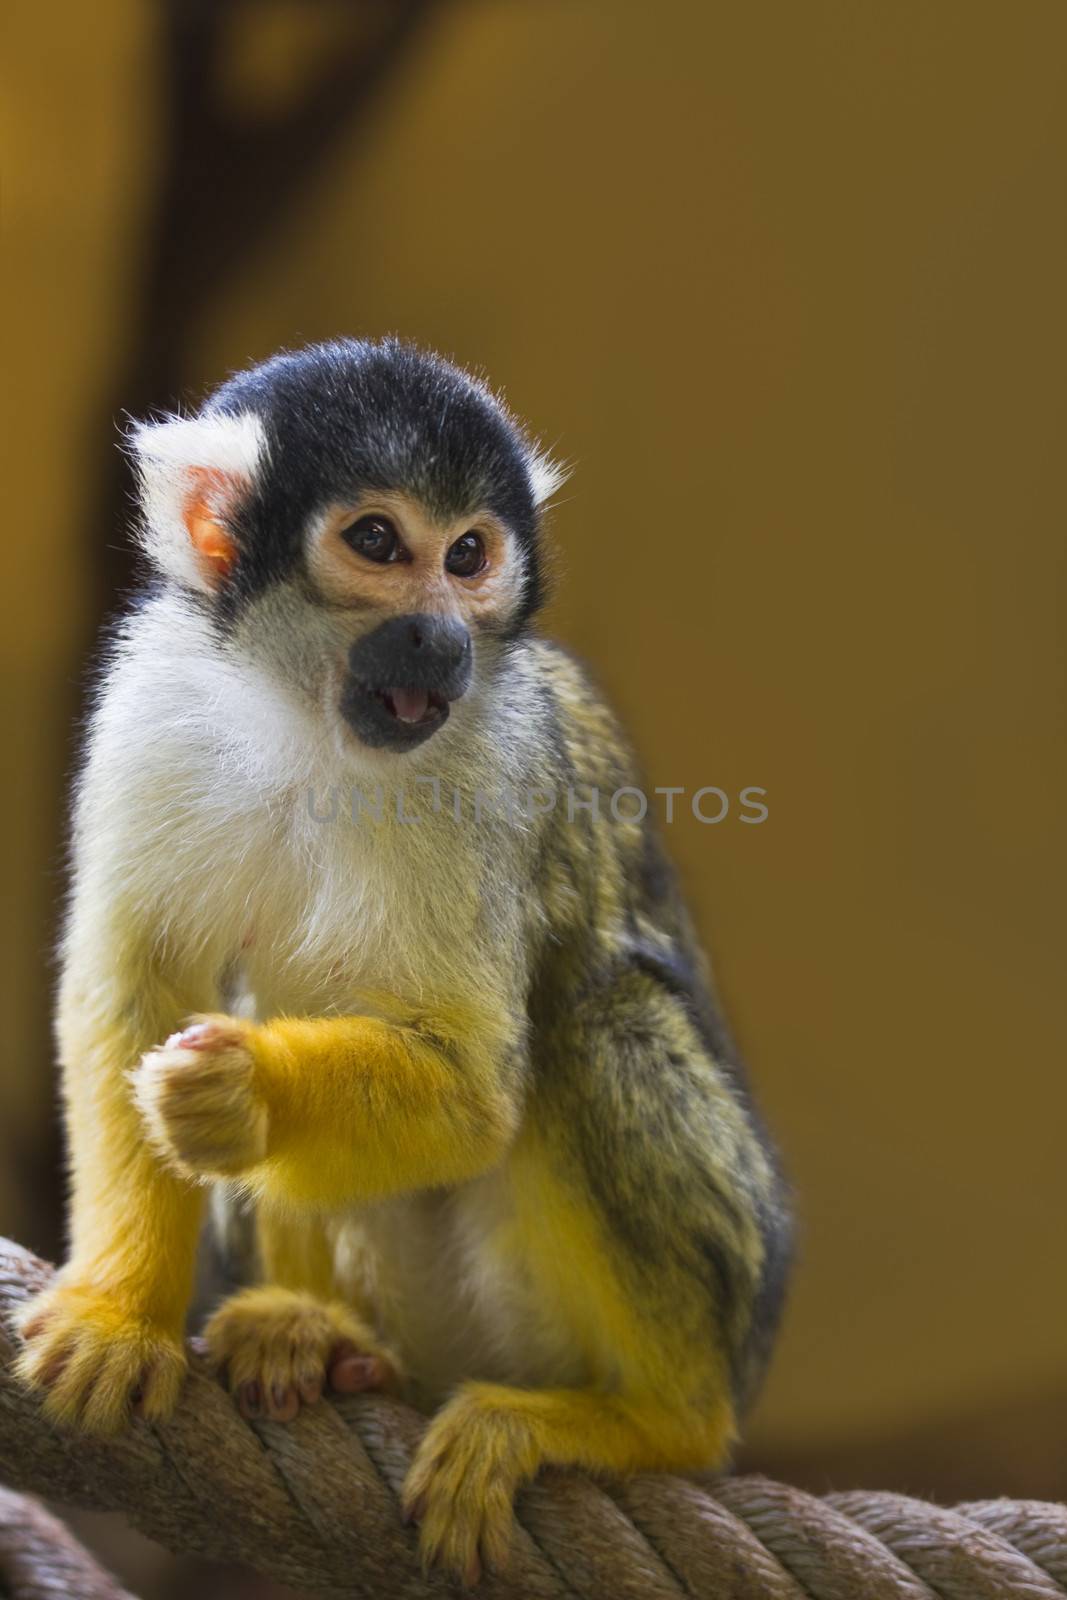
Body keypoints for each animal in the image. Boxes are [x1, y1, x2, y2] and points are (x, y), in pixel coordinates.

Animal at [16, 340, 793, 1587]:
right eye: (378, 542)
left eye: (468, 555)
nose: (437, 633)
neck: (309, 719)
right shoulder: (155, 702)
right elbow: (132, 994)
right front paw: (121, 1313)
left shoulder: (487, 753)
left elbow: (473, 1087)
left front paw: (242, 1089)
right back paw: (324, 1338)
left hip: (694, 1297)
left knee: (597, 1018)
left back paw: (640, 1420)